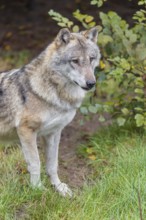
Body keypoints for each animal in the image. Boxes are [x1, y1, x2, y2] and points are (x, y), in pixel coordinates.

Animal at [0, 26, 100, 197]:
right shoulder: (26, 131)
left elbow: (53, 164)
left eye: (91, 58)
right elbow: (35, 163)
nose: (91, 83)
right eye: (75, 61)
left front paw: (59, 188)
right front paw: (38, 189)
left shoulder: (54, 132)